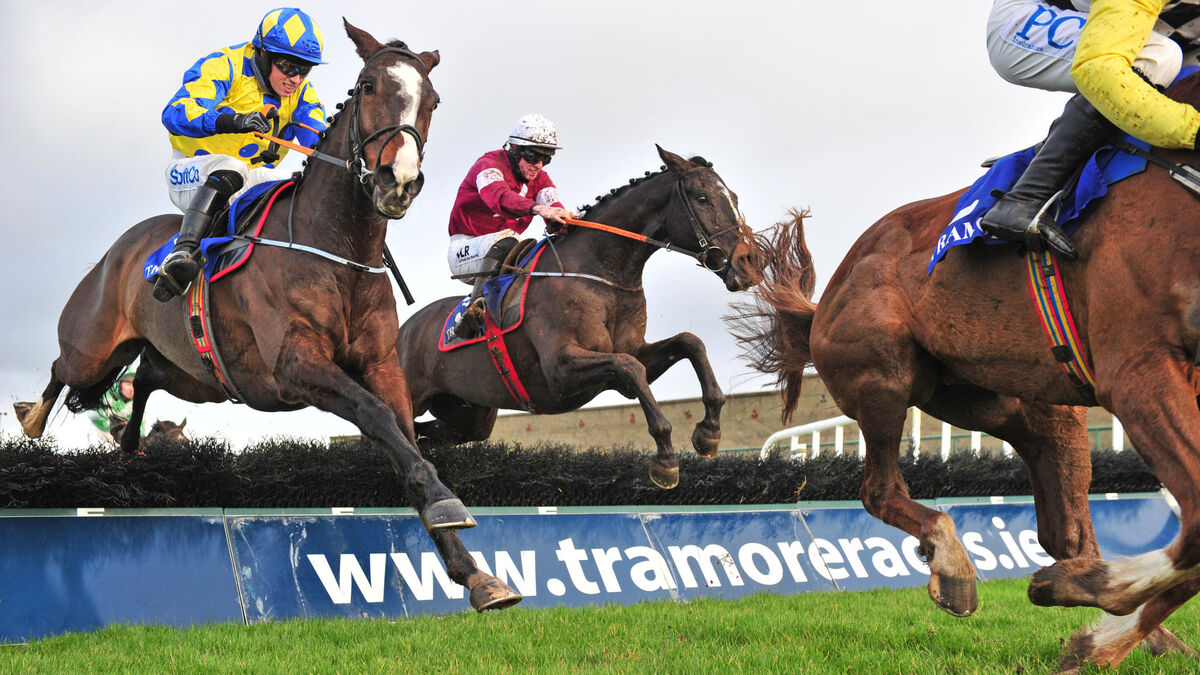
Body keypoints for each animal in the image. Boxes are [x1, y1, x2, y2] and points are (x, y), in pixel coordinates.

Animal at [13, 21, 521, 612]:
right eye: (369, 85)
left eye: (433, 100)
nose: (399, 180)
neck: (339, 248)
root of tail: (123, 248)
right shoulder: (296, 366)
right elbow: (373, 415)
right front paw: (446, 502)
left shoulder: (382, 366)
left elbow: (403, 435)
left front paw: (474, 571)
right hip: (92, 347)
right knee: (64, 370)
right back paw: (32, 418)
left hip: (198, 378)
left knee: (147, 377)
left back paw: (131, 447)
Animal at [396, 146, 759, 489]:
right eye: (702, 198)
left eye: (734, 198)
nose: (749, 262)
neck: (600, 272)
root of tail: (403, 330)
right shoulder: (559, 370)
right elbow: (630, 366)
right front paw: (666, 460)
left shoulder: (629, 359)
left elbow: (688, 343)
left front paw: (708, 432)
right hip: (415, 392)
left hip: (469, 414)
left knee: (427, 434)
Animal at [732, 74, 1200, 669]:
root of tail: (828, 294)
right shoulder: (1139, 370)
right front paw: (1087, 625)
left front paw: (1091, 632)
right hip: (883, 376)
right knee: (880, 490)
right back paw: (958, 567)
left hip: (1028, 406)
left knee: (1066, 531)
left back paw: (1118, 615)